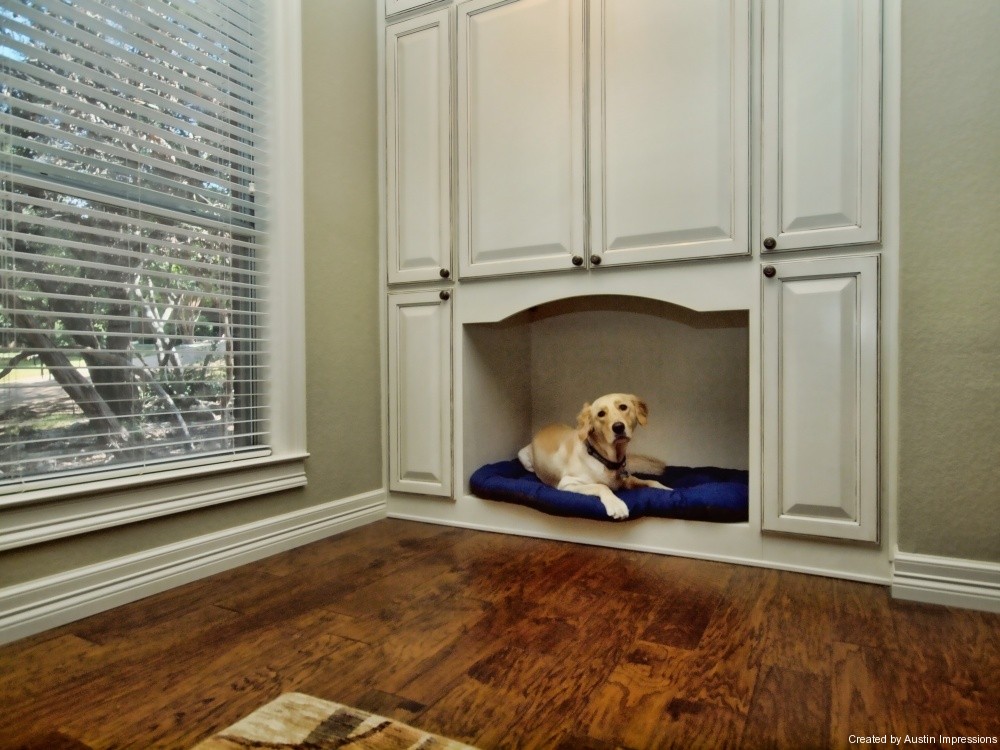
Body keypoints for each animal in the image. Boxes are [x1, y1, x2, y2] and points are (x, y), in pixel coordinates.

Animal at [516, 394, 672, 524]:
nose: (618, 427)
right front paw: (616, 504)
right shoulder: (567, 483)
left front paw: (667, 489)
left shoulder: (626, 479)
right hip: (523, 456)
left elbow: (651, 481)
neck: (602, 458)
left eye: (623, 407)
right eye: (601, 414)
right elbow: (601, 486)